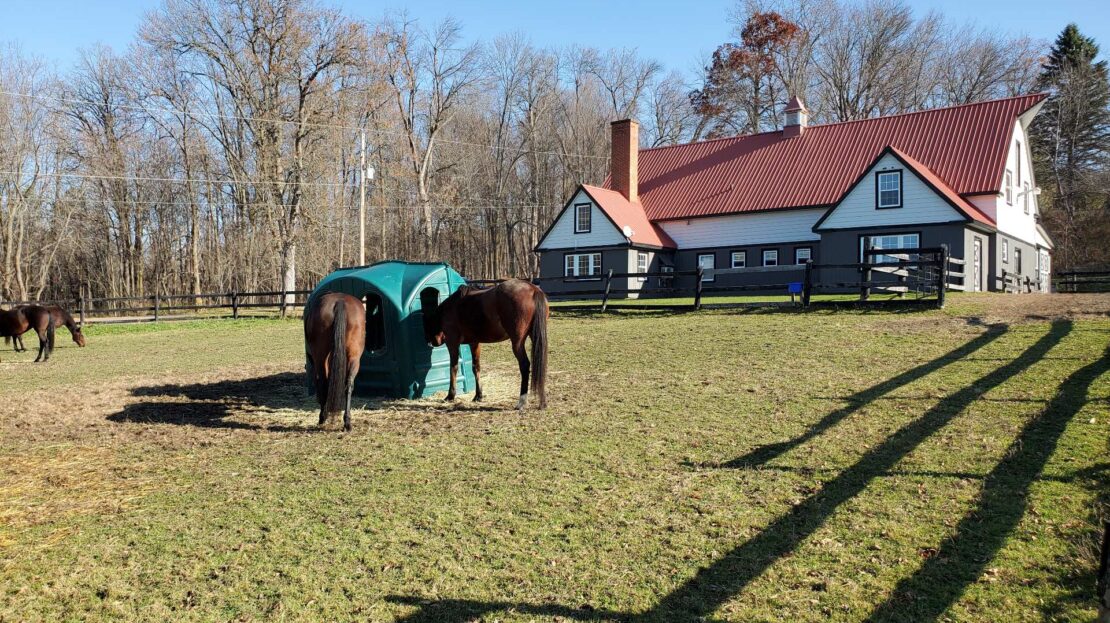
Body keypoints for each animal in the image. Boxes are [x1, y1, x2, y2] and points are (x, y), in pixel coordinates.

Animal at [304, 292, 366, 431]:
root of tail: (339, 302)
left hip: (320, 358)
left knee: (324, 381)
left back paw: (323, 416)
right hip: (354, 357)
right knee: (349, 384)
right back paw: (347, 422)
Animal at [422, 279, 549, 410]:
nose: (430, 342)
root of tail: (533, 289)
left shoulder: (452, 343)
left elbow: (453, 367)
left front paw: (450, 395)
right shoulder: (474, 343)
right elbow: (476, 367)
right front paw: (478, 395)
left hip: (517, 343)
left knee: (524, 365)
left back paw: (522, 401)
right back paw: (542, 401)